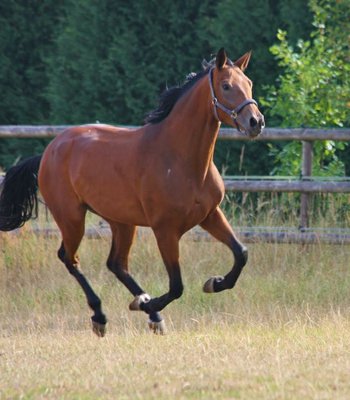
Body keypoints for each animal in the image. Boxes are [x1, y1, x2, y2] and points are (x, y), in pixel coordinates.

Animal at [0, 49, 262, 334]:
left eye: (249, 83)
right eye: (226, 86)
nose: (256, 122)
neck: (181, 159)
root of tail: (47, 153)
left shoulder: (210, 215)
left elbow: (241, 253)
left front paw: (214, 283)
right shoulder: (165, 229)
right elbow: (176, 286)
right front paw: (148, 304)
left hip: (121, 222)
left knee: (116, 263)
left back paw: (148, 311)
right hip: (71, 218)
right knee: (69, 258)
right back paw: (103, 316)